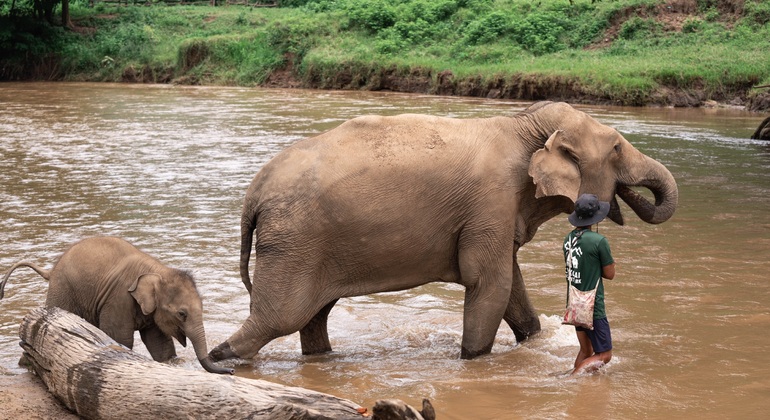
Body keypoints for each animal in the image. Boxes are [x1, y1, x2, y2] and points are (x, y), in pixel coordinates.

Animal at [0, 236, 233, 374]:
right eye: (182, 314)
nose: (231, 371)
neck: (159, 270)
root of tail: (52, 269)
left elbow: (160, 344)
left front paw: (170, 364)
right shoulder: (119, 298)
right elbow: (120, 338)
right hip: (63, 291)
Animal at [208, 101, 678, 363]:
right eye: (616, 148)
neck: (523, 125)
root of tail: (252, 195)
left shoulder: (496, 213)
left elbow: (510, 287)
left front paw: (531, 344)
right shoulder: (491, 202)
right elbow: (489, 282)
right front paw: (472, 362)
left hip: (308, 243)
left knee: (313, 315)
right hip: (294, 239)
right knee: (282, 316)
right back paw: (218, 359)